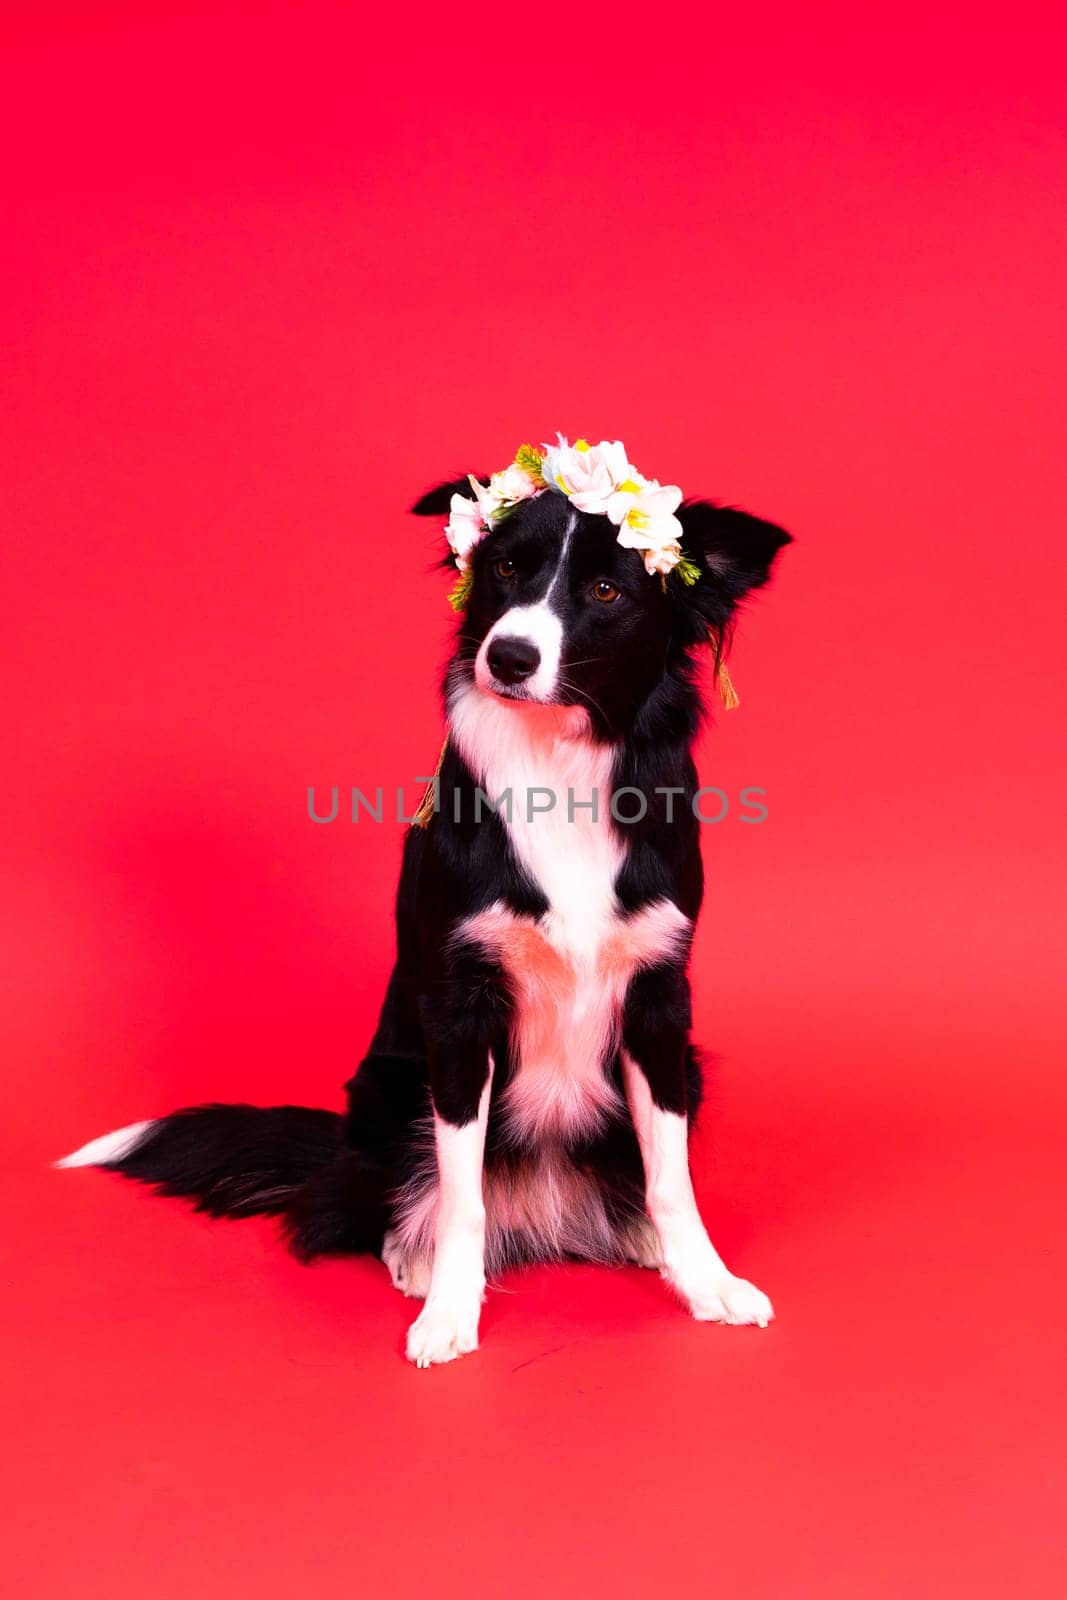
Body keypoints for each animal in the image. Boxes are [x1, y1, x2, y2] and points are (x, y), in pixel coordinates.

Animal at [60, 438, 793, 1363]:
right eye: (505, 568)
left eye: (605, 590)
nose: (509, 657)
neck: (557, 765)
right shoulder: (458, 1012)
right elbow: (462, 1194)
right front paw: (448, 1308)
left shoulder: (660, 1000)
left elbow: (671, 1177)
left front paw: (705, 1280)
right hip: (388, 1087)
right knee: (387, 1200)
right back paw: (411, 1255)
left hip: (686, 1066)